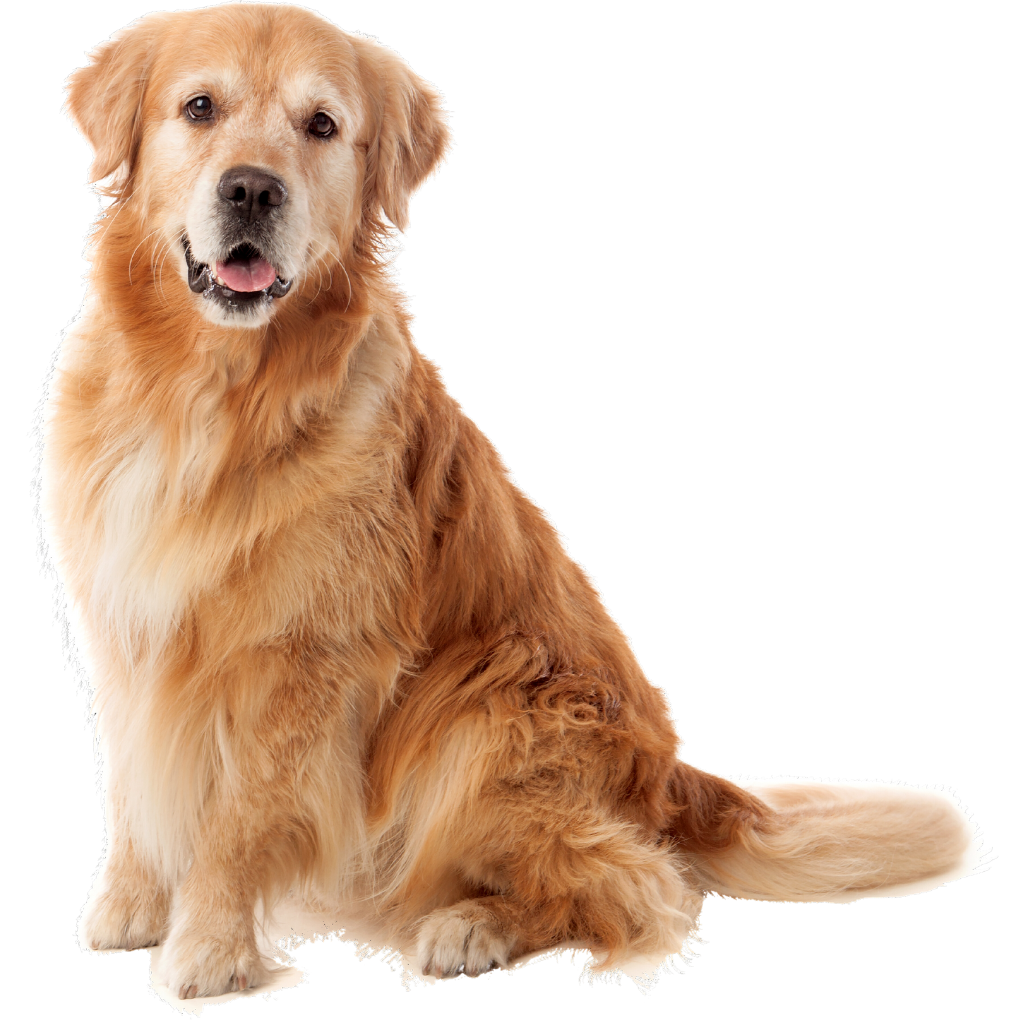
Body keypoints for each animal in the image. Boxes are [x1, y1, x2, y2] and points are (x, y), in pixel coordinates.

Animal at [48, 4, 970, 999]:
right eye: (199, 108)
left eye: (321, 125)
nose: (253, 190)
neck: (207, 397)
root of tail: (674, 778)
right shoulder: (128, 623)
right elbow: (134, 783)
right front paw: (133, 905)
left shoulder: (304, 656)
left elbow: (240, 816)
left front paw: (209, 947)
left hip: (488, 705)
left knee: (638, 885)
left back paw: (471, 925)